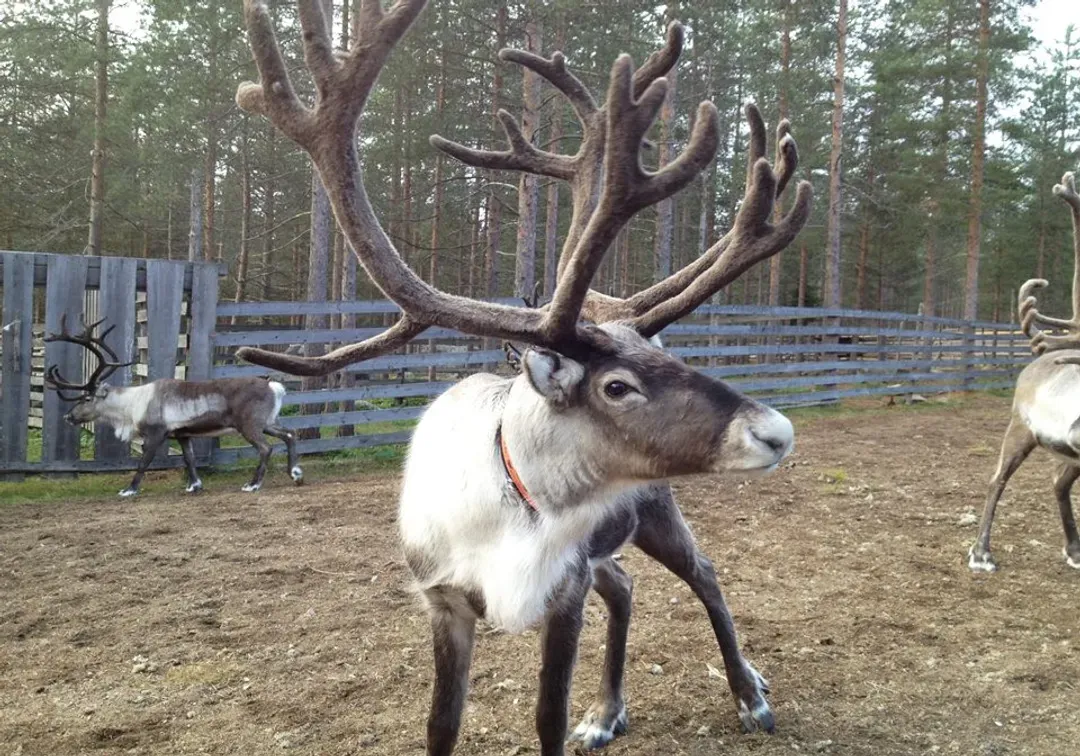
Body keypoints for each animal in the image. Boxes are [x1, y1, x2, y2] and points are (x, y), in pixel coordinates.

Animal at [43, 315, 303, 497]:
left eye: (87, 399)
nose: (68, 417)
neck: (132, 406)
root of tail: (274, 387)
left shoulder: (157, 433)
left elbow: (144, 462)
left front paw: (129, 489)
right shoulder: (182, 434)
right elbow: (189, 459)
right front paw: (194, 485)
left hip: (248, 425)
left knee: (266, 448)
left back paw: (253, 484)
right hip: (268, 422)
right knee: (290, 434)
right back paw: (295, 474)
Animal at [232, 1, 812, 753]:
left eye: (667, 356)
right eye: (616, 385)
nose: (775, 430)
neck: (519, 515)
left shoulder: (564, 592)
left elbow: (547, 715)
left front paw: (585, 713)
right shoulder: (444, 599)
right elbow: (441, 723)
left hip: (655, 511)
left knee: (706, 576)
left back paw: (749, 695)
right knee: (626, 587)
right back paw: (609, 712)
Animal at [968, 171, 1080, 573]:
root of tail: (1032, 364)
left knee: (1059, 482)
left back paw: (1074, 549)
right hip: (1020, 428)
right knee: (996, 479)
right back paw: (981, 553)